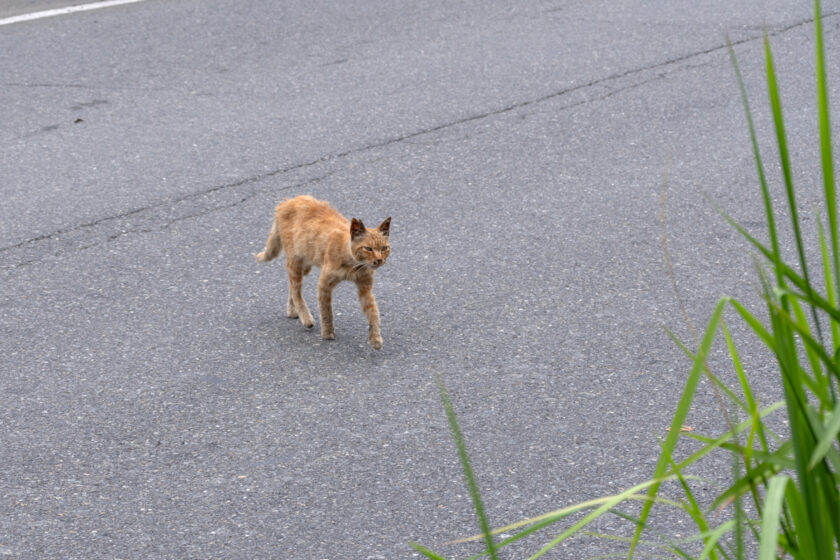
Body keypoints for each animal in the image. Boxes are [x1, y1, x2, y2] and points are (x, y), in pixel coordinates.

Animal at [256, 195, 390, 348]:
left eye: (384, 248)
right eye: (368, 249)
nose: (379, 260)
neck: (354, 265)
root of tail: (288, 201)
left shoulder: (365, 289)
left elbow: (373, 313)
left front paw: (375, 338)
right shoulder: (324, 284)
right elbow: (326, 311)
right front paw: (327, 332)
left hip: (305, 266)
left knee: (292, 287)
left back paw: (292, 310)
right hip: (295, 262)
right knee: (296, 291)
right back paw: (306, 318)